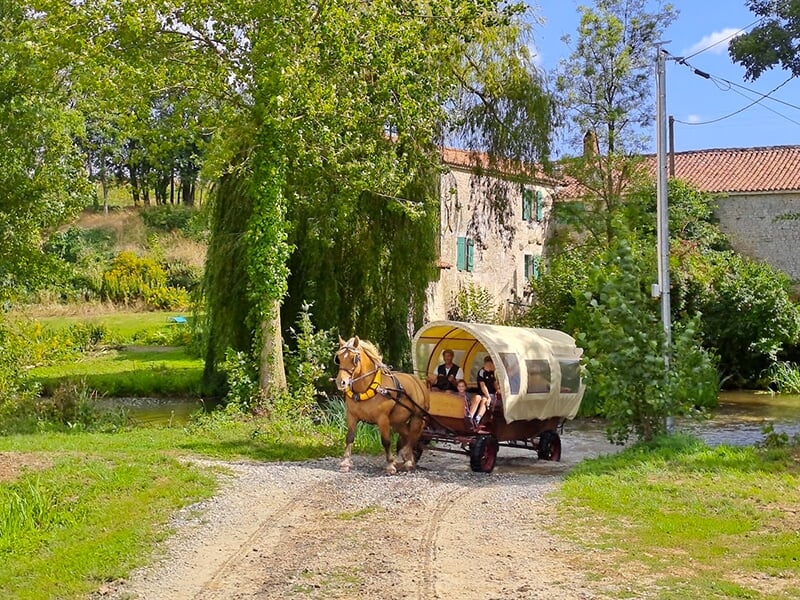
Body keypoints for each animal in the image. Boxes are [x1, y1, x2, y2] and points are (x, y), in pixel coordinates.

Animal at [334, 336, 430, 474]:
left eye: (354, 358)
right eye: (339, 358)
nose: (341, 382)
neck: (367, 387)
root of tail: (419, 381)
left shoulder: (383, 419)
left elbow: (386, 441)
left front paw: (390, 465)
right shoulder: (352, 415)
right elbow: (350, 437)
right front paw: (345, 463)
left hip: (417, 417)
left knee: (413, 435)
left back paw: (408, 460)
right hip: (398, 421)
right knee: (407, 434)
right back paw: (407, 458)